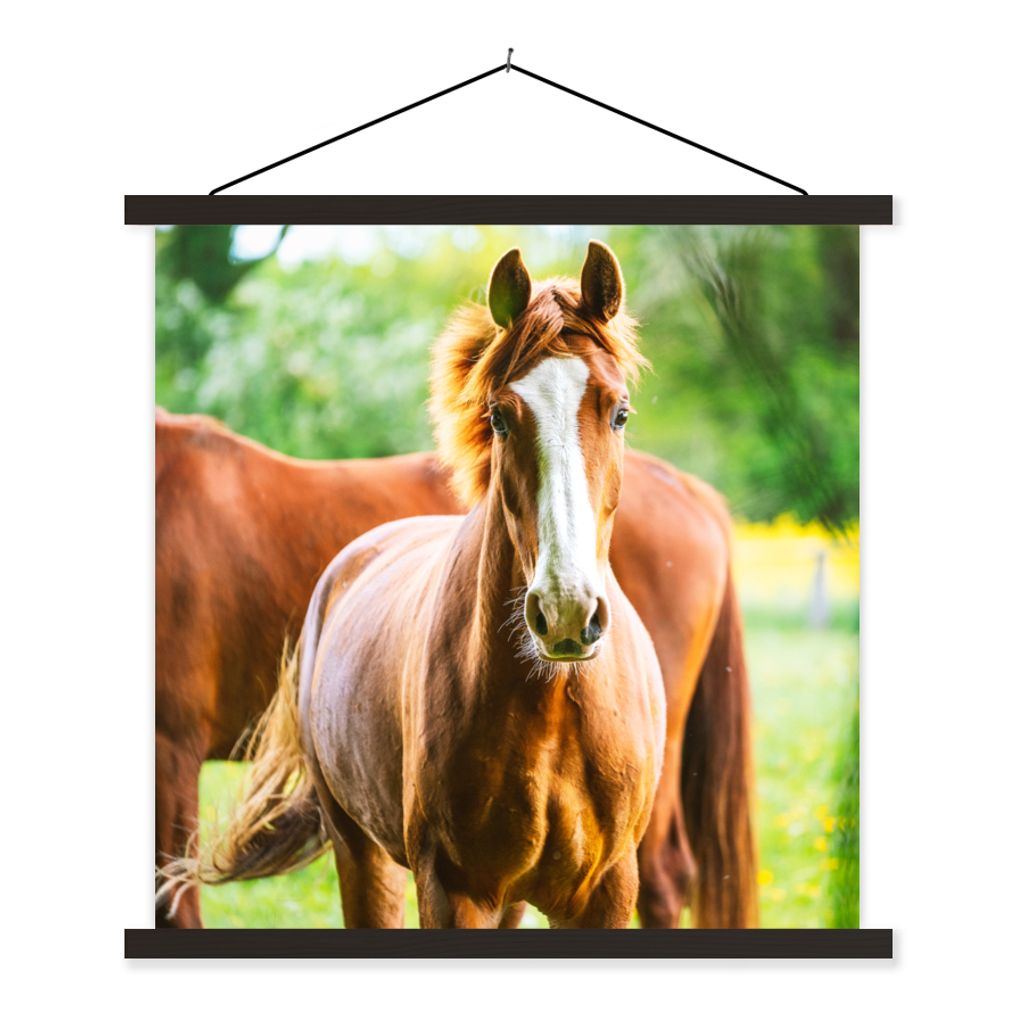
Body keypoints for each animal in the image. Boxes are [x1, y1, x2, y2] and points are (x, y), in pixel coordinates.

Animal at [156, 247, 757, 928]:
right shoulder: (453, 888)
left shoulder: (603, 891)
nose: (565, 610)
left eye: (620, 412)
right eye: (498, 417)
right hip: (363, 852)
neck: (551, 708)